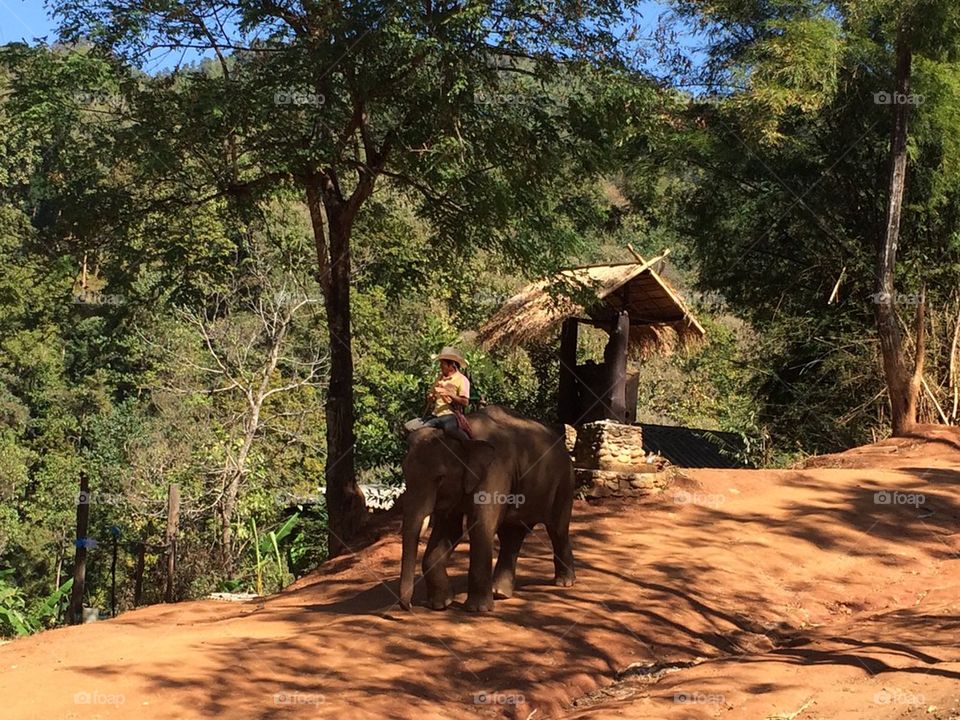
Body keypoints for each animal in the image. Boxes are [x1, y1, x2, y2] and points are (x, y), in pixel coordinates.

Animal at [398, 406, 576, 612]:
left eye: (440, 478)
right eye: (404, 472)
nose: (409, 606)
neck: (466, 435)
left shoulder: (495, 472)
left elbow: (480, 526)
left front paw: (477, 609)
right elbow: (449, 529)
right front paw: (440, 605)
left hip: (564, 482)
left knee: (557, 529)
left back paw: (564, 583)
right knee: (512, 535)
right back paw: (500, 593)